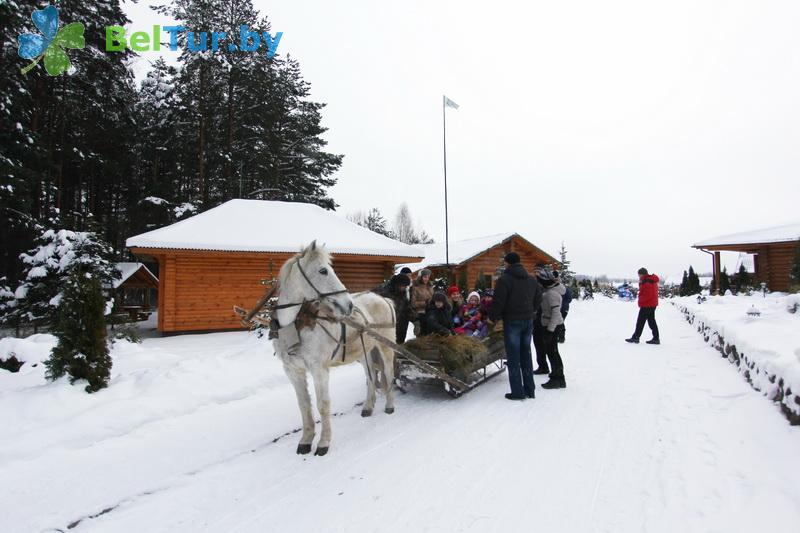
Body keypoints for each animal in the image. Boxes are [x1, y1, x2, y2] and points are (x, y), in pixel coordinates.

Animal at [276, 241, 400, 454]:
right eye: (323, 270)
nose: (348, 305)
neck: (297, 326)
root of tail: (383, 299)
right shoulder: (293, 371)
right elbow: (304, 405)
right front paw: (306, 440)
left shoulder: (319, 369)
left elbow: (323, 405)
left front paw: (324, 443)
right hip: (364, 352)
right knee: (370, 377)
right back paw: (368, 407)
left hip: (385, 347)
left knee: (388, 373)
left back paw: (390, 406)